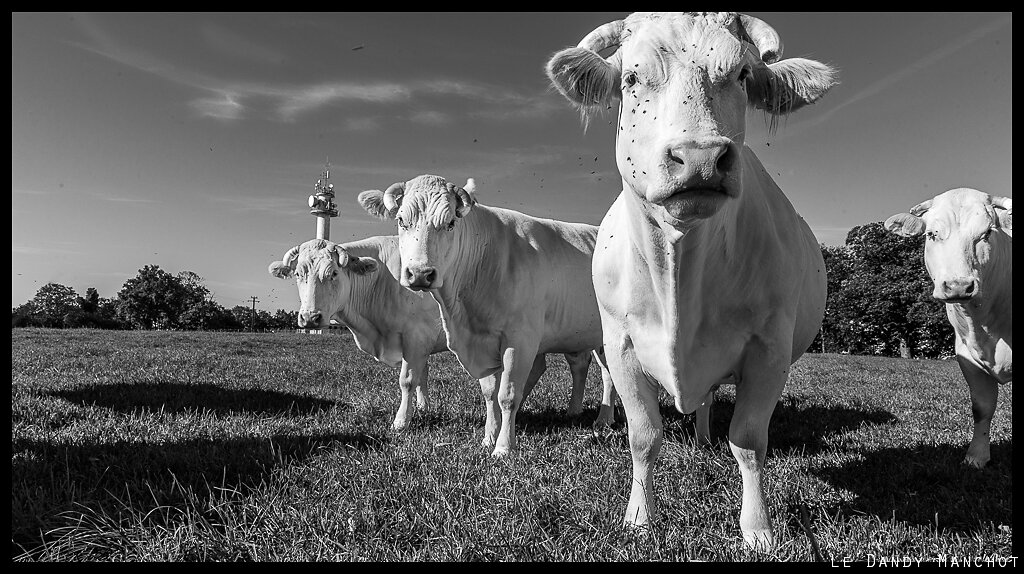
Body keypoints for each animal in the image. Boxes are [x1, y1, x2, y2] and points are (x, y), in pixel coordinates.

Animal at [360, 171, 614, 454]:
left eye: (450, 223)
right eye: (401, 220)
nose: (420, 274)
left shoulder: (520, 340)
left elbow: (508, 394)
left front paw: (503, 447)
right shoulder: (482, 341)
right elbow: (490, 392)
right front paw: (489, 436)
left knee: (609, 375)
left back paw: (604, 419)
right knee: (590, 368)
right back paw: (584, 413)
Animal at [548, 10, 835, 544]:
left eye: (741, 75)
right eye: (631, 78)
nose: (700, 157)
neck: (678, 274)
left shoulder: (769, 350)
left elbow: (748, 441)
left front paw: (757, 528)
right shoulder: (620, 344)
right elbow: (643, 437)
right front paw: (639, 517)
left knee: (709, 402)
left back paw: (704, 438)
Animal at [884, 190, 1011, 468]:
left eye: (987, 233)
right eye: (932, 234)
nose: (959, 286)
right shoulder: (966, 355)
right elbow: (982, 407)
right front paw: (976, 456)